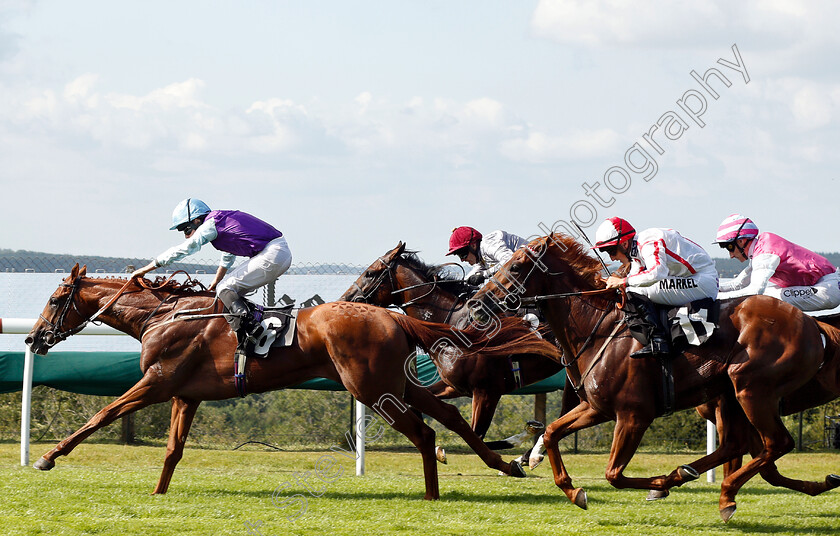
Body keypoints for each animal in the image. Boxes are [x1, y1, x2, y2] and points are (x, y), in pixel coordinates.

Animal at [24, 264, 564, 498]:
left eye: (53, 300)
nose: (32, 338)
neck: (166, 314)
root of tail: (394, 316)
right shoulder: (185, 394)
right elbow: (173, 449)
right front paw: (159, 493)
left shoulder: (157, 383)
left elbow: (102, 414)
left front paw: (49, 457)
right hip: (394, 384)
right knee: (448, 416)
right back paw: (505, 465)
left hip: (370, 388)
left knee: (425, 430)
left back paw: (437, 491)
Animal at [340, 243, 564, 440]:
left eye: (370, 273)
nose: (346, 298)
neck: (456, 324)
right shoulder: (454, 386)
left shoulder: (487, 392)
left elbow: (477, 437)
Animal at [470, 233, 836, 520]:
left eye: (516, 266)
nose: (475, 304)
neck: (599, 328)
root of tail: (811, 323)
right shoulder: (596, 408)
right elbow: (551, 432)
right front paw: (571, 489)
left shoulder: (634, 415)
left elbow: (613, 474)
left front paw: (658, 485)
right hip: (733, 395)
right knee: (740, 444)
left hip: (752, 390)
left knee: (777, 443)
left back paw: (723, 493)